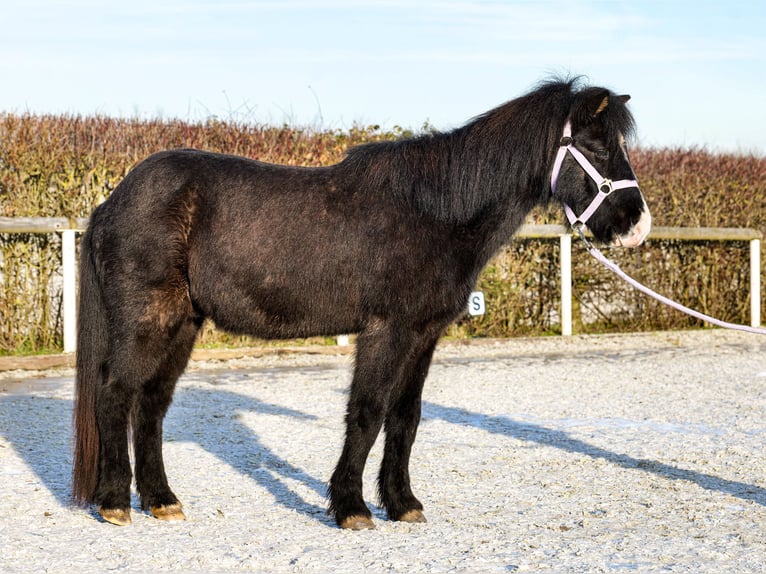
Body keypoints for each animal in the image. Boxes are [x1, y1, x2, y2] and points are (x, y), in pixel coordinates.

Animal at [72, 80, 652, 532]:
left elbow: (405, 417)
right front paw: (351, 507)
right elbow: (368, 412)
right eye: (599, 147)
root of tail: (111, 202)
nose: (637, 224)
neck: (434, 211)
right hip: (148, 321)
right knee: (116, 393)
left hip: (183, 324)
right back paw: (115, 502)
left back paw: (162, 501)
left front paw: (402, 504)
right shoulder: (386, 331)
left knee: (151, 405)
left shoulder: (423, 334)